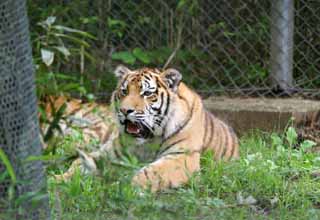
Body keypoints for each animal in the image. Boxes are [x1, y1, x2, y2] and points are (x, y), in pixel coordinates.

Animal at [111, 64, 239, 192]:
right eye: (124, 91)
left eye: (147, 93)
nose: (124, 110)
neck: (149, 140)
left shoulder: (183, 156)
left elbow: (152, 172)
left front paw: (129, 186)